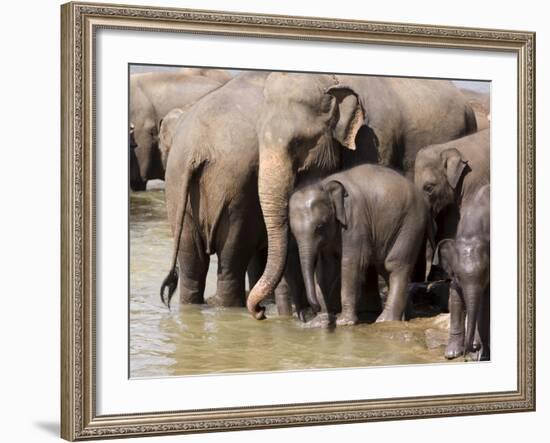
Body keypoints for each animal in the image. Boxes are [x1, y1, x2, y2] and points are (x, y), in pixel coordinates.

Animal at [288, 164, 432, 326]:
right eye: (292, 231)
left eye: (320, 226)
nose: (313, 310)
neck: (324, 184)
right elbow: (325, 269)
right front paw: (321, 321)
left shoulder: (355, 220)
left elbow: (352, 262)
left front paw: (344, 322)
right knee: (385, 268)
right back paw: (404, 318)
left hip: (410, 224)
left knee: (395, 264)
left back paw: (385, 320)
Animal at [436, 184, 492, 360]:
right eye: (458, 276)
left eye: (485, 273)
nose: (472, 350)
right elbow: (455, 297)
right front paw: (451, 354)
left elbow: (486, 303)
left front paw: (480, 353)